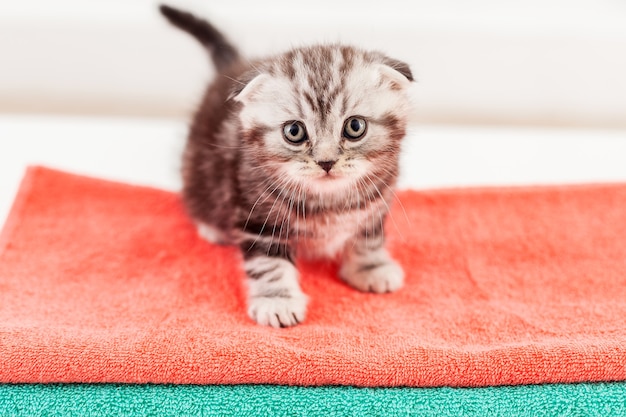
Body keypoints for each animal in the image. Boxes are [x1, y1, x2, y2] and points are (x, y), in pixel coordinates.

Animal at [158, 4, 412, 326]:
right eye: (294, 132)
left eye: (355, 127)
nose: (326, 162)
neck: (329, 203)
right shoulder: (257, 217)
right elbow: (269, 262)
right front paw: (276, 300)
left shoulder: (376, 201)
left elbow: (368, 234)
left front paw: (371, 267)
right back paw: (213, 227)